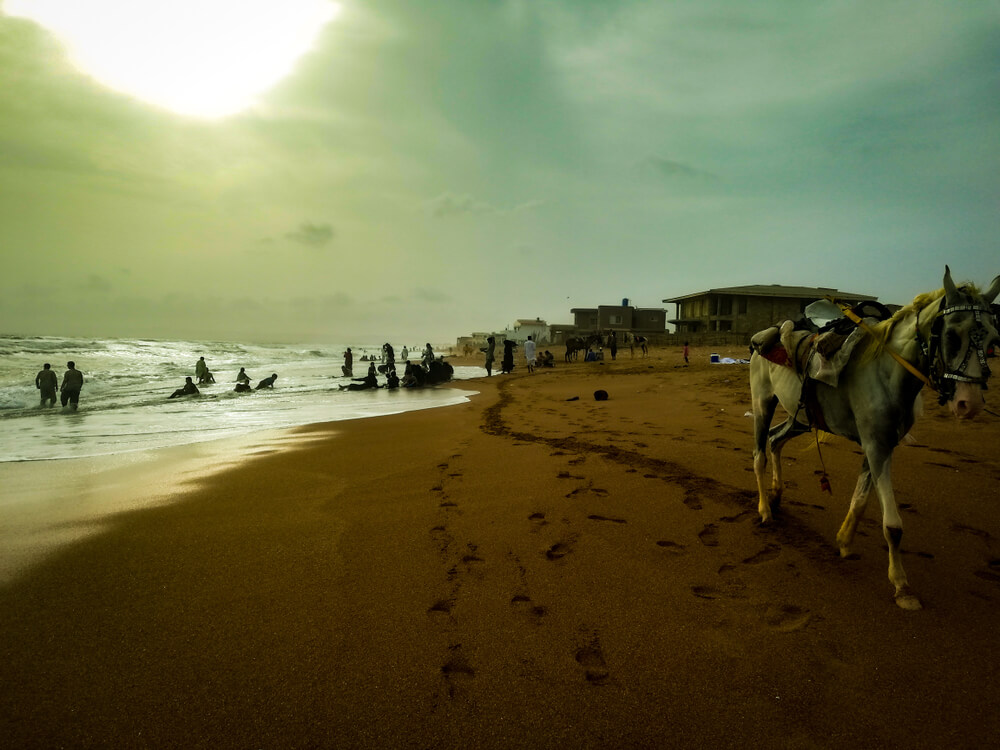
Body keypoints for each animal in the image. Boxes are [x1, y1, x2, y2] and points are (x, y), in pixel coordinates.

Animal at [752, 268, 1000, 612]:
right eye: (951, 335)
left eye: (993, 341)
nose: (970, 403)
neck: (887, 372)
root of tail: (763, 337)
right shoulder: (876, 445)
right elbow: (893, 526)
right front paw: (902, 586)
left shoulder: (881, 444)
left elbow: (860, 500)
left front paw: (844, 542)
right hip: (763, 403)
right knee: (759, 454)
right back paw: (764, 509)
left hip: (800, 417)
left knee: (776, 440)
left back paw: (776, 496)